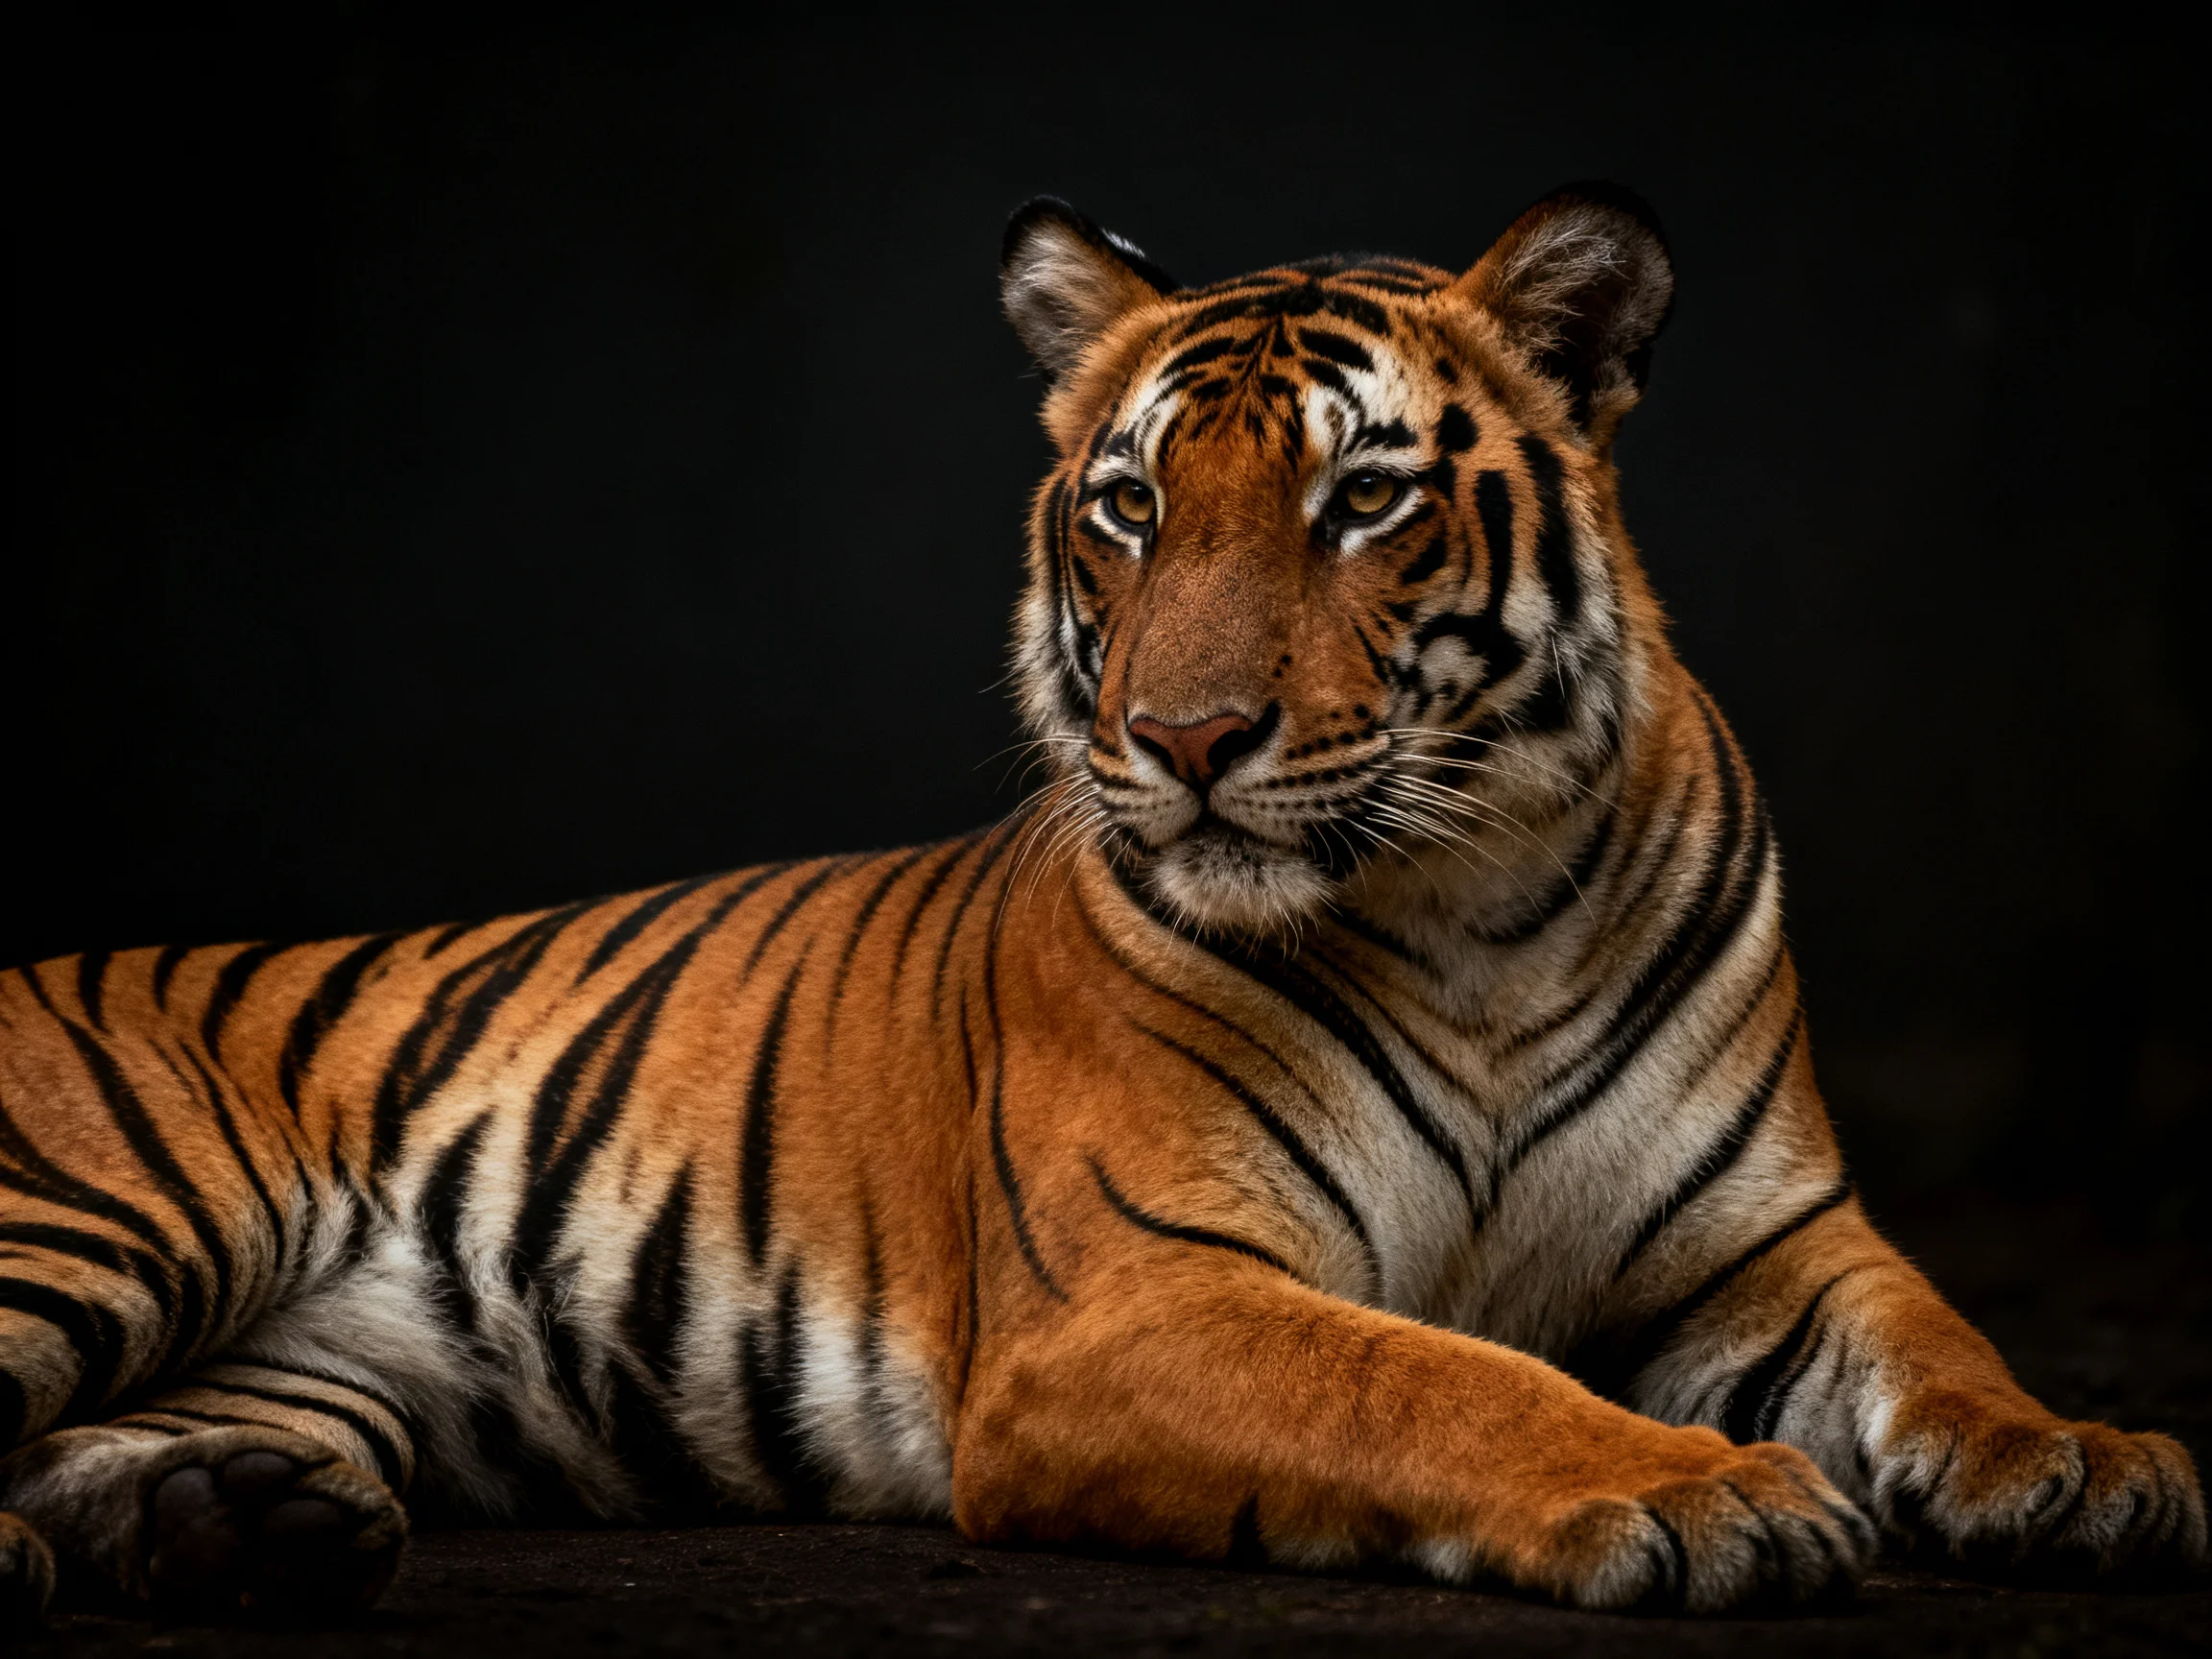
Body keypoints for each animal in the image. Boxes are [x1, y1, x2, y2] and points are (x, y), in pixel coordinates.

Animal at [1, 184, 2202, 1628]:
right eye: (1130, 507)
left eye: (1362, 497)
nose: (1186, 735)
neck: (1481, 904)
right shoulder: (1138, 1294)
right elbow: (1430, 1372)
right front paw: (1701, 1487)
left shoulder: (1766, 1241)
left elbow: (1938, 1341)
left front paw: (2081, 1462)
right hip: (117, 1211)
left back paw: (232, 1526)